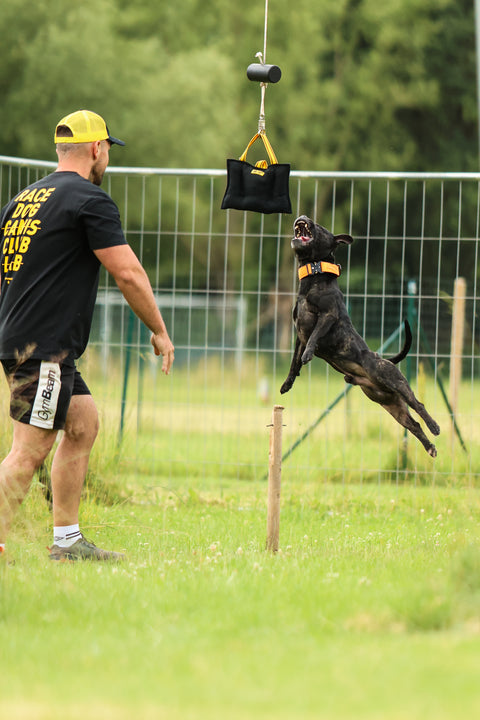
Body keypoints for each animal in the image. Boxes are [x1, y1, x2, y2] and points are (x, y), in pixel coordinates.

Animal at [280, 217, 440, 458]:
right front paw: (287, 384)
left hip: (394, 380)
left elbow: (315, 336)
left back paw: (435, 427)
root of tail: (383, 359)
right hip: (390, 404)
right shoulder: (299, 334)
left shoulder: (329, 315)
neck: (314, 277)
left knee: (419, 405)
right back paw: (429, 446)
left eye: (320, 227)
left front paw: (308, 354)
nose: (304, 218)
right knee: (413, 425)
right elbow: (293, 363)